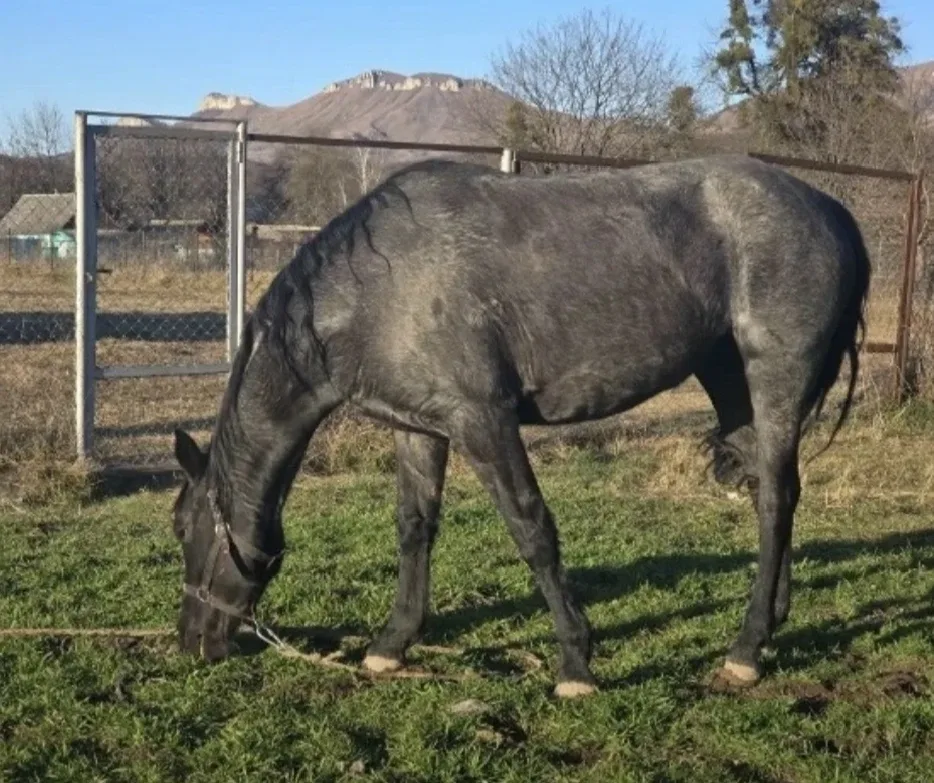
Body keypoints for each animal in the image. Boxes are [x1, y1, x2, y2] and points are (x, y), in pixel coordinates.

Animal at [170, 154, 870, 698]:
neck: (379, 288)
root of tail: (831, 209)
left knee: (777, 496)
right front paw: (392, 643)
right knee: (766, 491)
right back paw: (773, 619)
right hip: (727, 378)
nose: (191, 640)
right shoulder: (419, 428)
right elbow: (414, 529)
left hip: (774, 376)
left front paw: (575, 663)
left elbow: (531, 530)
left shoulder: (484, 421)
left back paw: (745, 650)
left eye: (182, 528)